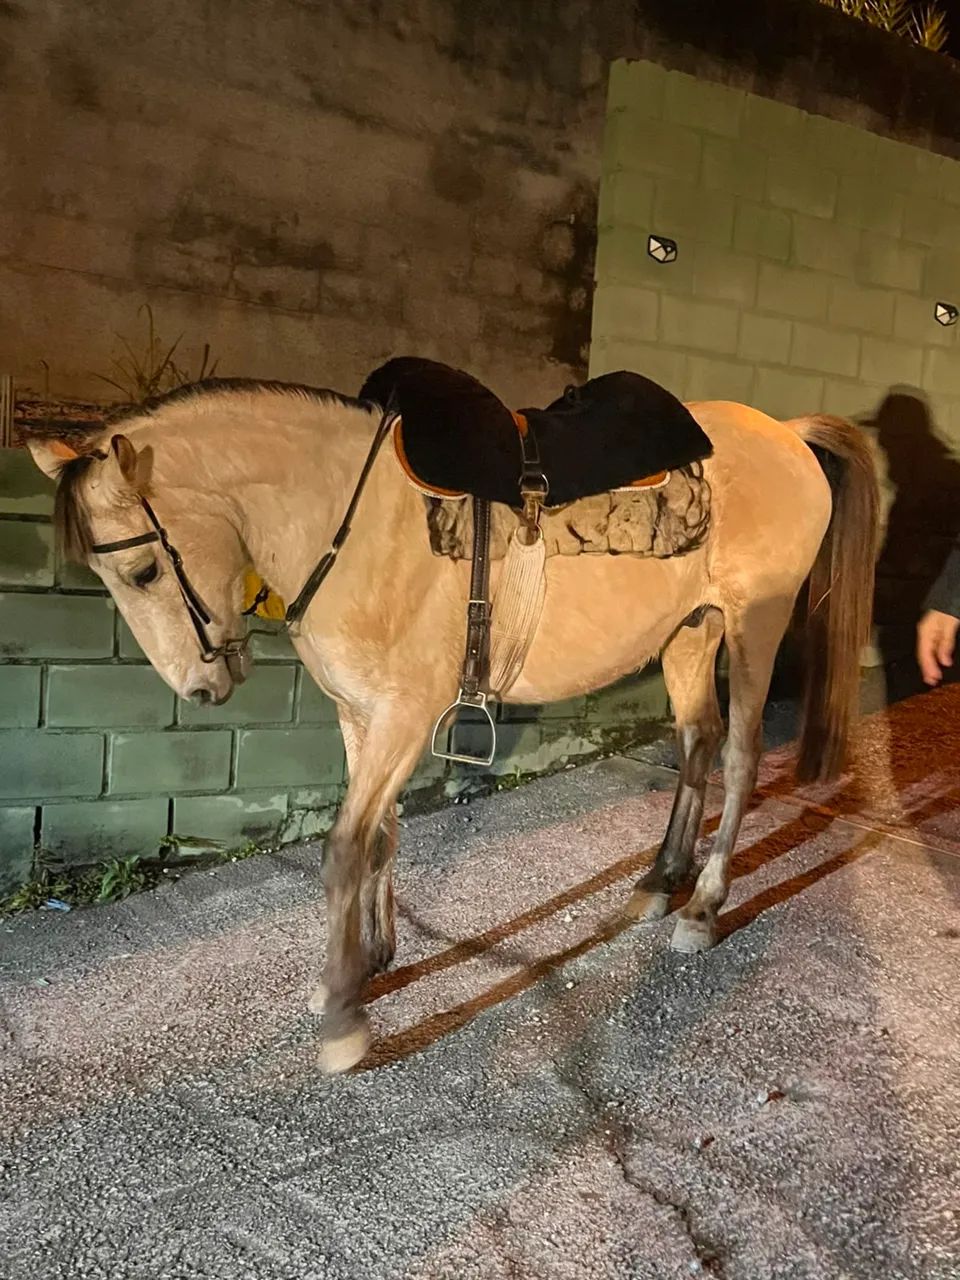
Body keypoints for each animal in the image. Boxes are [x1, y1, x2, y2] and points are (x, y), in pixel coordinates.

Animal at [29, 376, 879, 1073]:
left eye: (142, 570)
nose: (203, 686)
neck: (353, 524)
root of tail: (785, 431)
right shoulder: (360, 713)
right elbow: (379, 835)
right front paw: (366, 960)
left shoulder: (403, 716)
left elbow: (345, 847)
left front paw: (344, 1018)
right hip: (691, 634)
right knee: (698, 743)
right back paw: (655, 884)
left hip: (754, 625)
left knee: (738, 756)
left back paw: (702, 907)